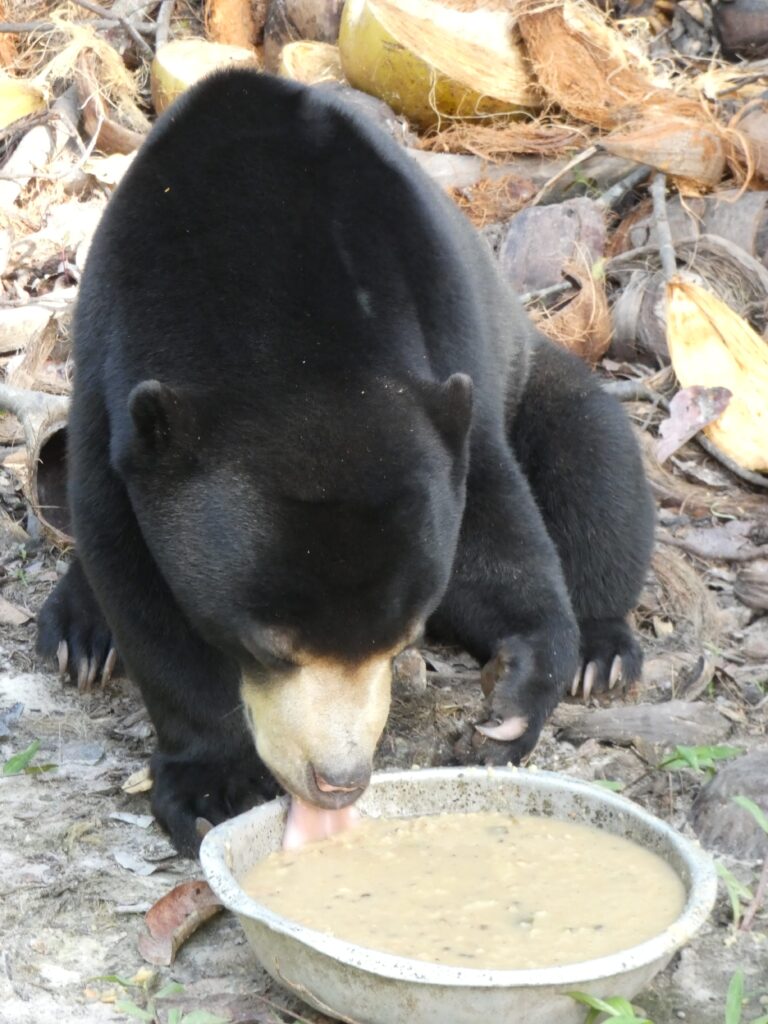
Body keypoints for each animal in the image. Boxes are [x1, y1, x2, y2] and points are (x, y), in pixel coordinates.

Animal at [37, 70, 654, 855]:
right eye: (269, 645)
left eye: (403, 638)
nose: (340, 781)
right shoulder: (110, 384)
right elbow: (132, 574)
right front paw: (212, 783)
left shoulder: (445, 348)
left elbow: (492, 518)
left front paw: (515, 696)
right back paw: (79, 633)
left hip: (536, 369)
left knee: (594, 458)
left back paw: (600, 650)